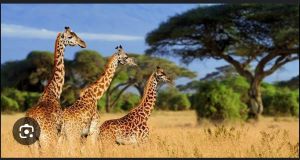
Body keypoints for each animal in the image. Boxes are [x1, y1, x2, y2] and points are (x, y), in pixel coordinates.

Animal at [25, 26, 86, 154]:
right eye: (70, 36)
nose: (83, 43)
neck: (53, 92)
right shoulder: (60, 132)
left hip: (32, 143)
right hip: (47, 138)